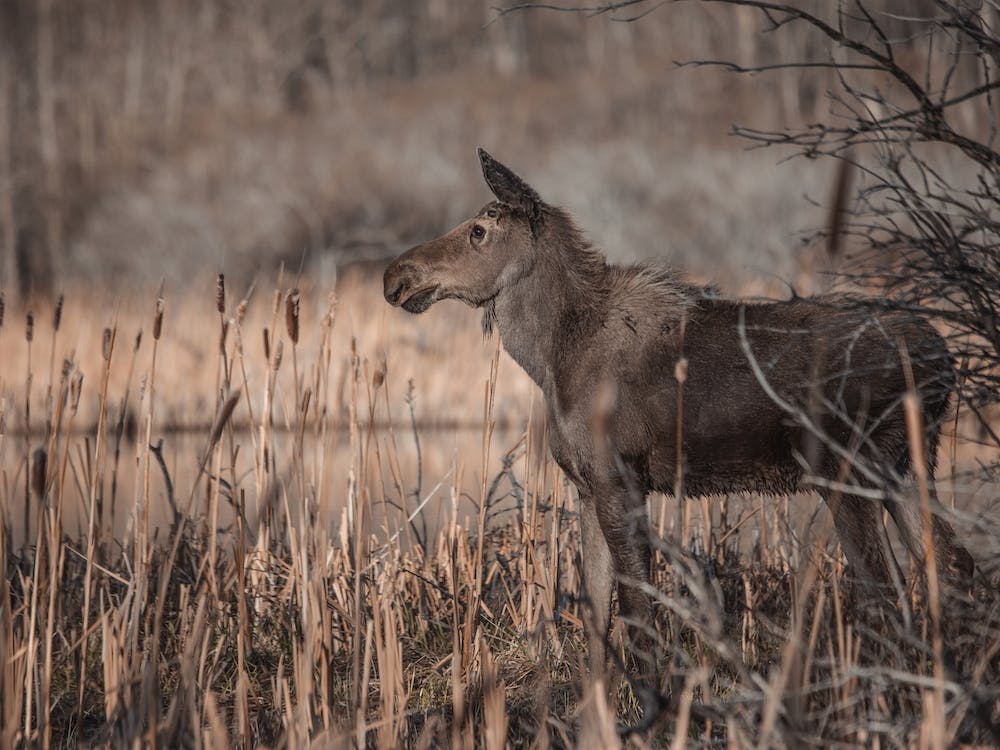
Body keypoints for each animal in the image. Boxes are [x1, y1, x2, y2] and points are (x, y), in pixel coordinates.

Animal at [383, 148, 975, 705]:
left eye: (479, 230)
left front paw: (652, 700)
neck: (551, 355)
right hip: (905, 468)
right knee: (951, 562)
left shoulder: (620, 480)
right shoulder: (587, 486)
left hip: (848, 472)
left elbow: (638, 606)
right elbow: (597, 608)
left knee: (888, 589)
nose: (395, 276)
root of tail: (943, 362)